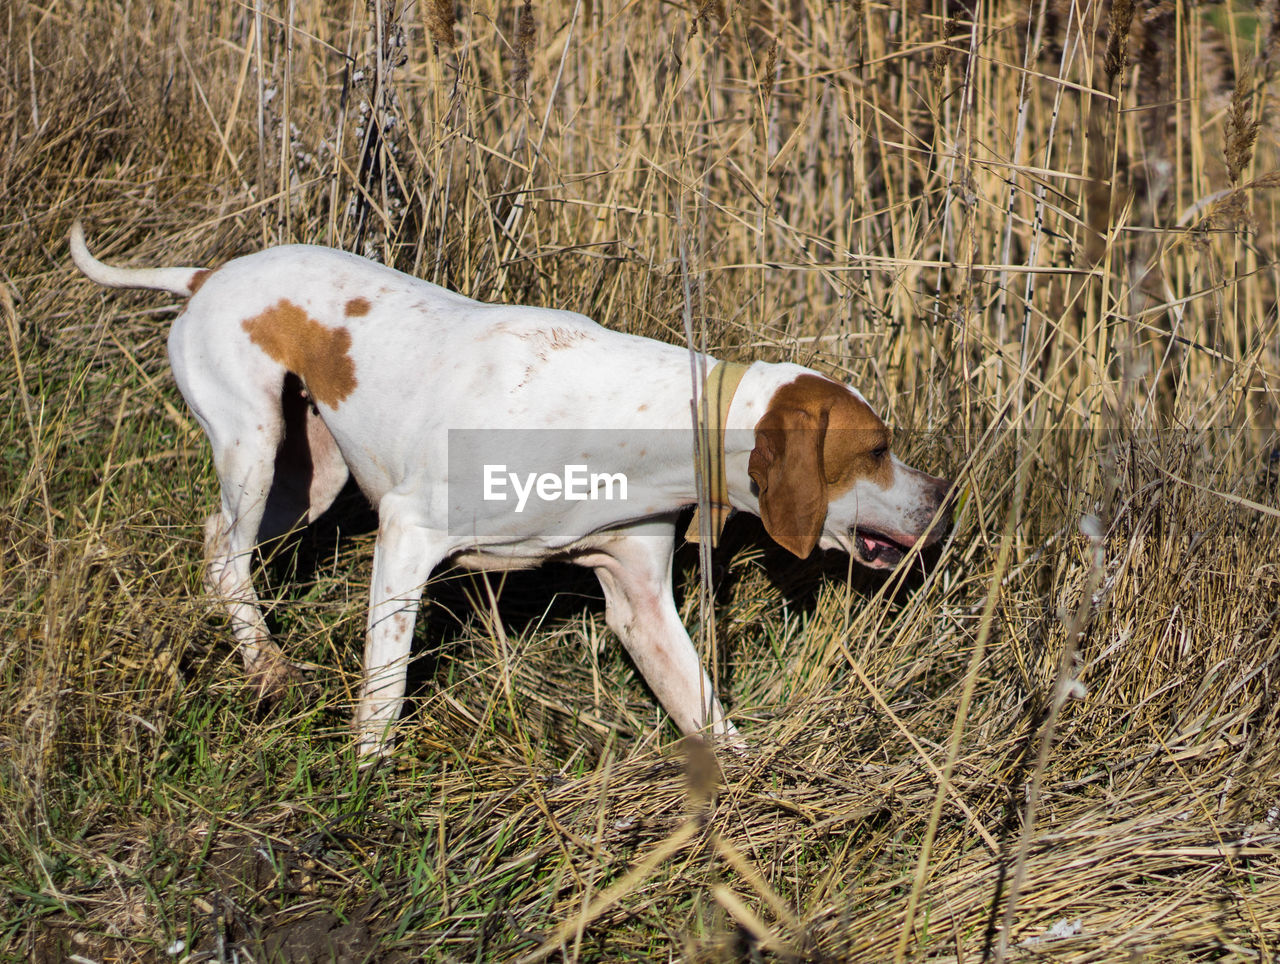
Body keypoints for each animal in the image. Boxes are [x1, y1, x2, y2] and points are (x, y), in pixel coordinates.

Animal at [70, 224, 952, 752]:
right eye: (877, 449)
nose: (943, 497)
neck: (630, 422)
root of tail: (211, 271)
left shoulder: (640, 602)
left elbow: (708, 715)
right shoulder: (407, 538)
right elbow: (385, 690)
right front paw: (365, 779)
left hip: (307, 477)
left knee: (219, 546)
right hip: (255, 448)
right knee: (226, 557)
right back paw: (267, 669)